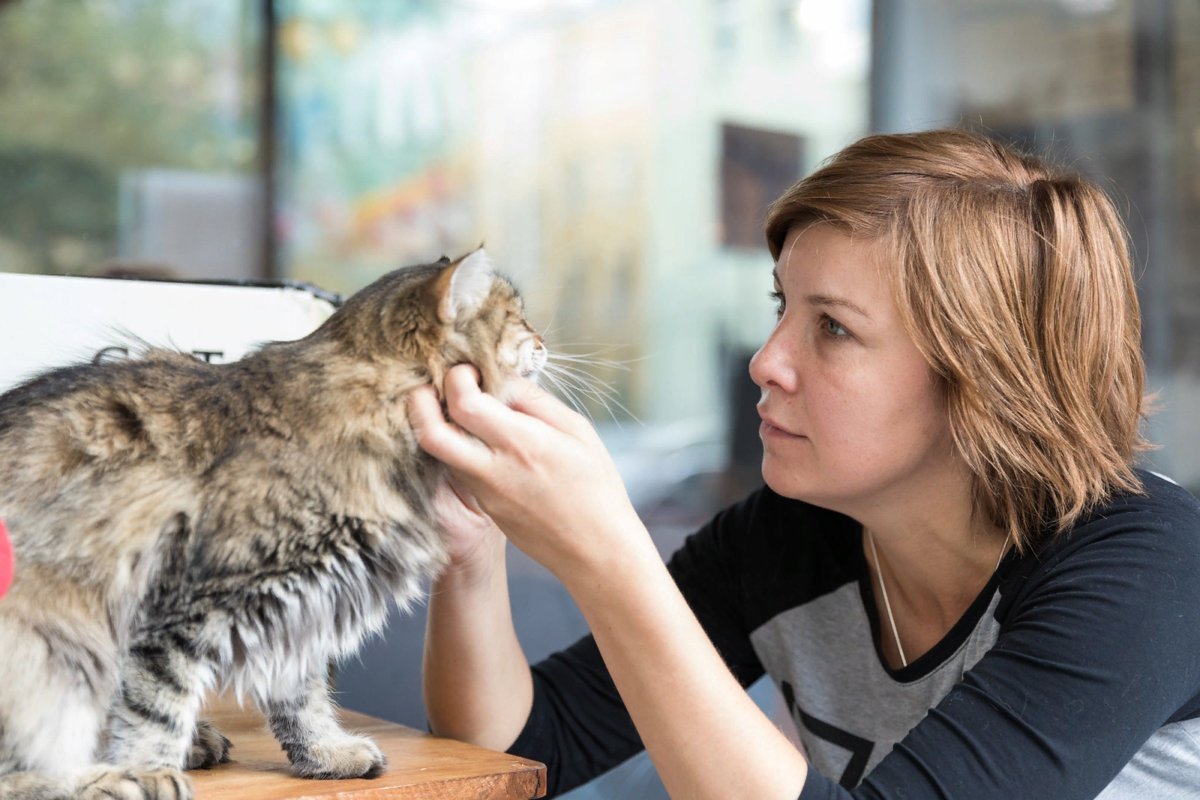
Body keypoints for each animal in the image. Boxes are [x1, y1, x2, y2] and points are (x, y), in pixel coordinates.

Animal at [0, 251, 549, 800]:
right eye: (519, 319)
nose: (544, 341)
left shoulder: (301, 604)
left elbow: (303, 700)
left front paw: (326, 755)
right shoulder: (179, 609)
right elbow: (156, 712)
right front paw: (152, 771)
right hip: (45, 638)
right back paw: (106, 778)